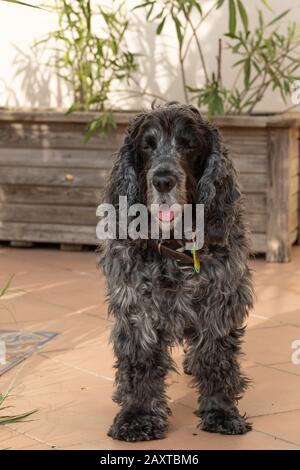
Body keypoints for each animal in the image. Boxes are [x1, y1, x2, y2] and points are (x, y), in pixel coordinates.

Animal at [99, 102, 253, 440]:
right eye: (147, 145)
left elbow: (216, 358)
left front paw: (221, 412)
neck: (174, 248)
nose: (163, 180)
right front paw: (137, 416)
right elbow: (140, 361)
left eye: (188, 145)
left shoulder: (218, 301)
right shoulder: (137, 305)